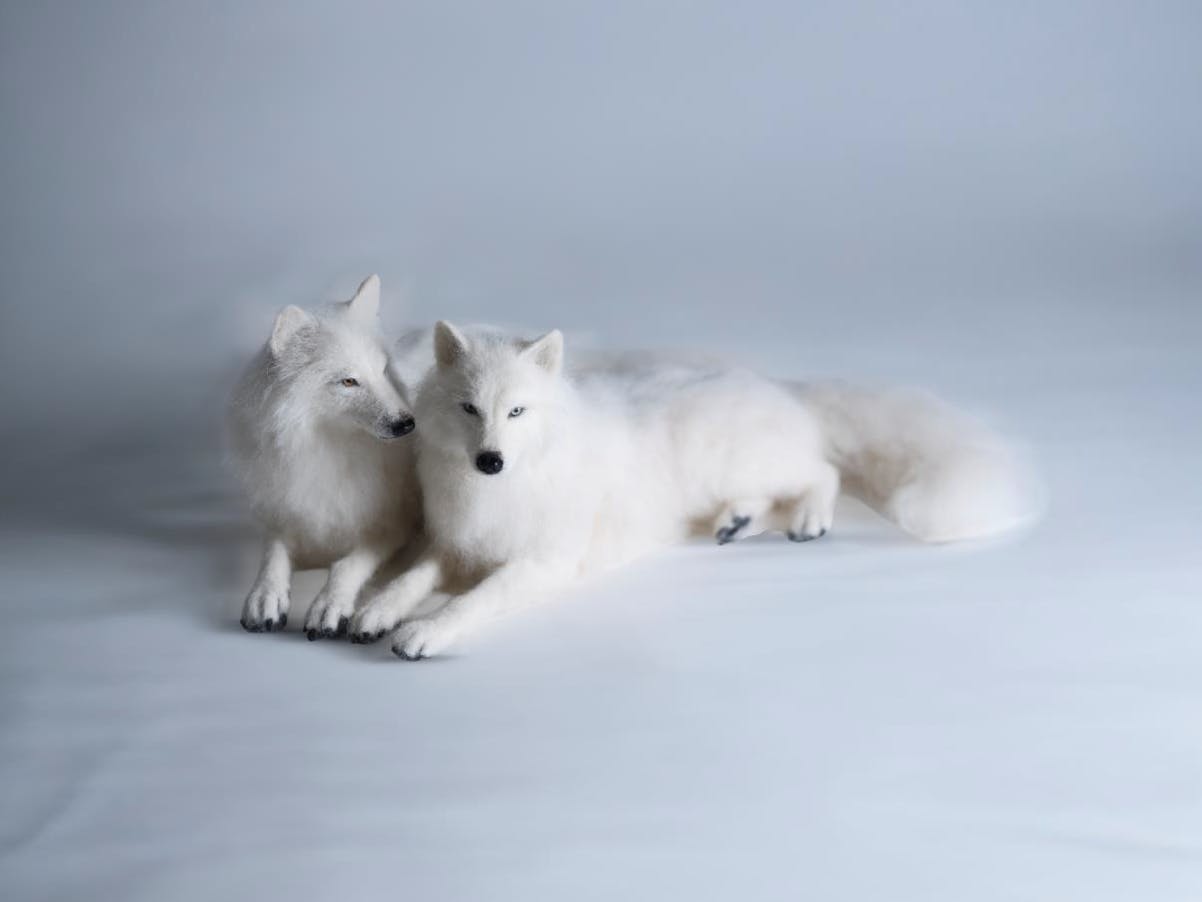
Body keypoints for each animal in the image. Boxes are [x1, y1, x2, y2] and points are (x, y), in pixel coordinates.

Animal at [229, 275, 421, 639]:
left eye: (383, 370)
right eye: (348, 381)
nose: (407, 424)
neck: (332, 452)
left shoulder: (392, 527)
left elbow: (346, 565)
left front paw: (329, 604)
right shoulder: (286, 515)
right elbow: (272, 556)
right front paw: (265, 596)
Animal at [350, 322, 1035, 659]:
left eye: (517, 412)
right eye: (469, 409)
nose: (489, 460)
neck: (502, 491)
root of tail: (776, 385)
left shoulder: (542, 564)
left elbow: (468, 603)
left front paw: (421, 632)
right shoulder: (451, 543)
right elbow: (408, 580)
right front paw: (375, 611)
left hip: (739, 462)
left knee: (822, 471)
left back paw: (807, 519)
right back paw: (737, 524)